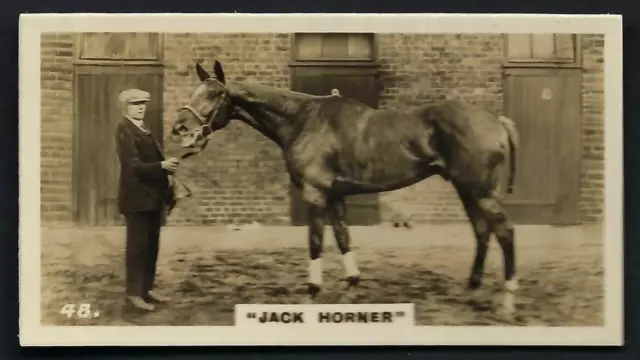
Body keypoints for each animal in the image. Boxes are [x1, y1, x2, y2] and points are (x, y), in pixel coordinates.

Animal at [170, 60, 520, 314]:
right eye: (194, 92)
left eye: (215, 94)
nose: (180, 129)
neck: (304, 119)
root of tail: (497, 121)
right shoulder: (336, 195)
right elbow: (342, 238)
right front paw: (351, 286)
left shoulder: (315, 194)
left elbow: (315, 242)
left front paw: (312, 292)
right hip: (466, 189)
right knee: (482, 232)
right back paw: (472, 290)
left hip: (480, 191)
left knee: (504, 232)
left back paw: (508, 299)